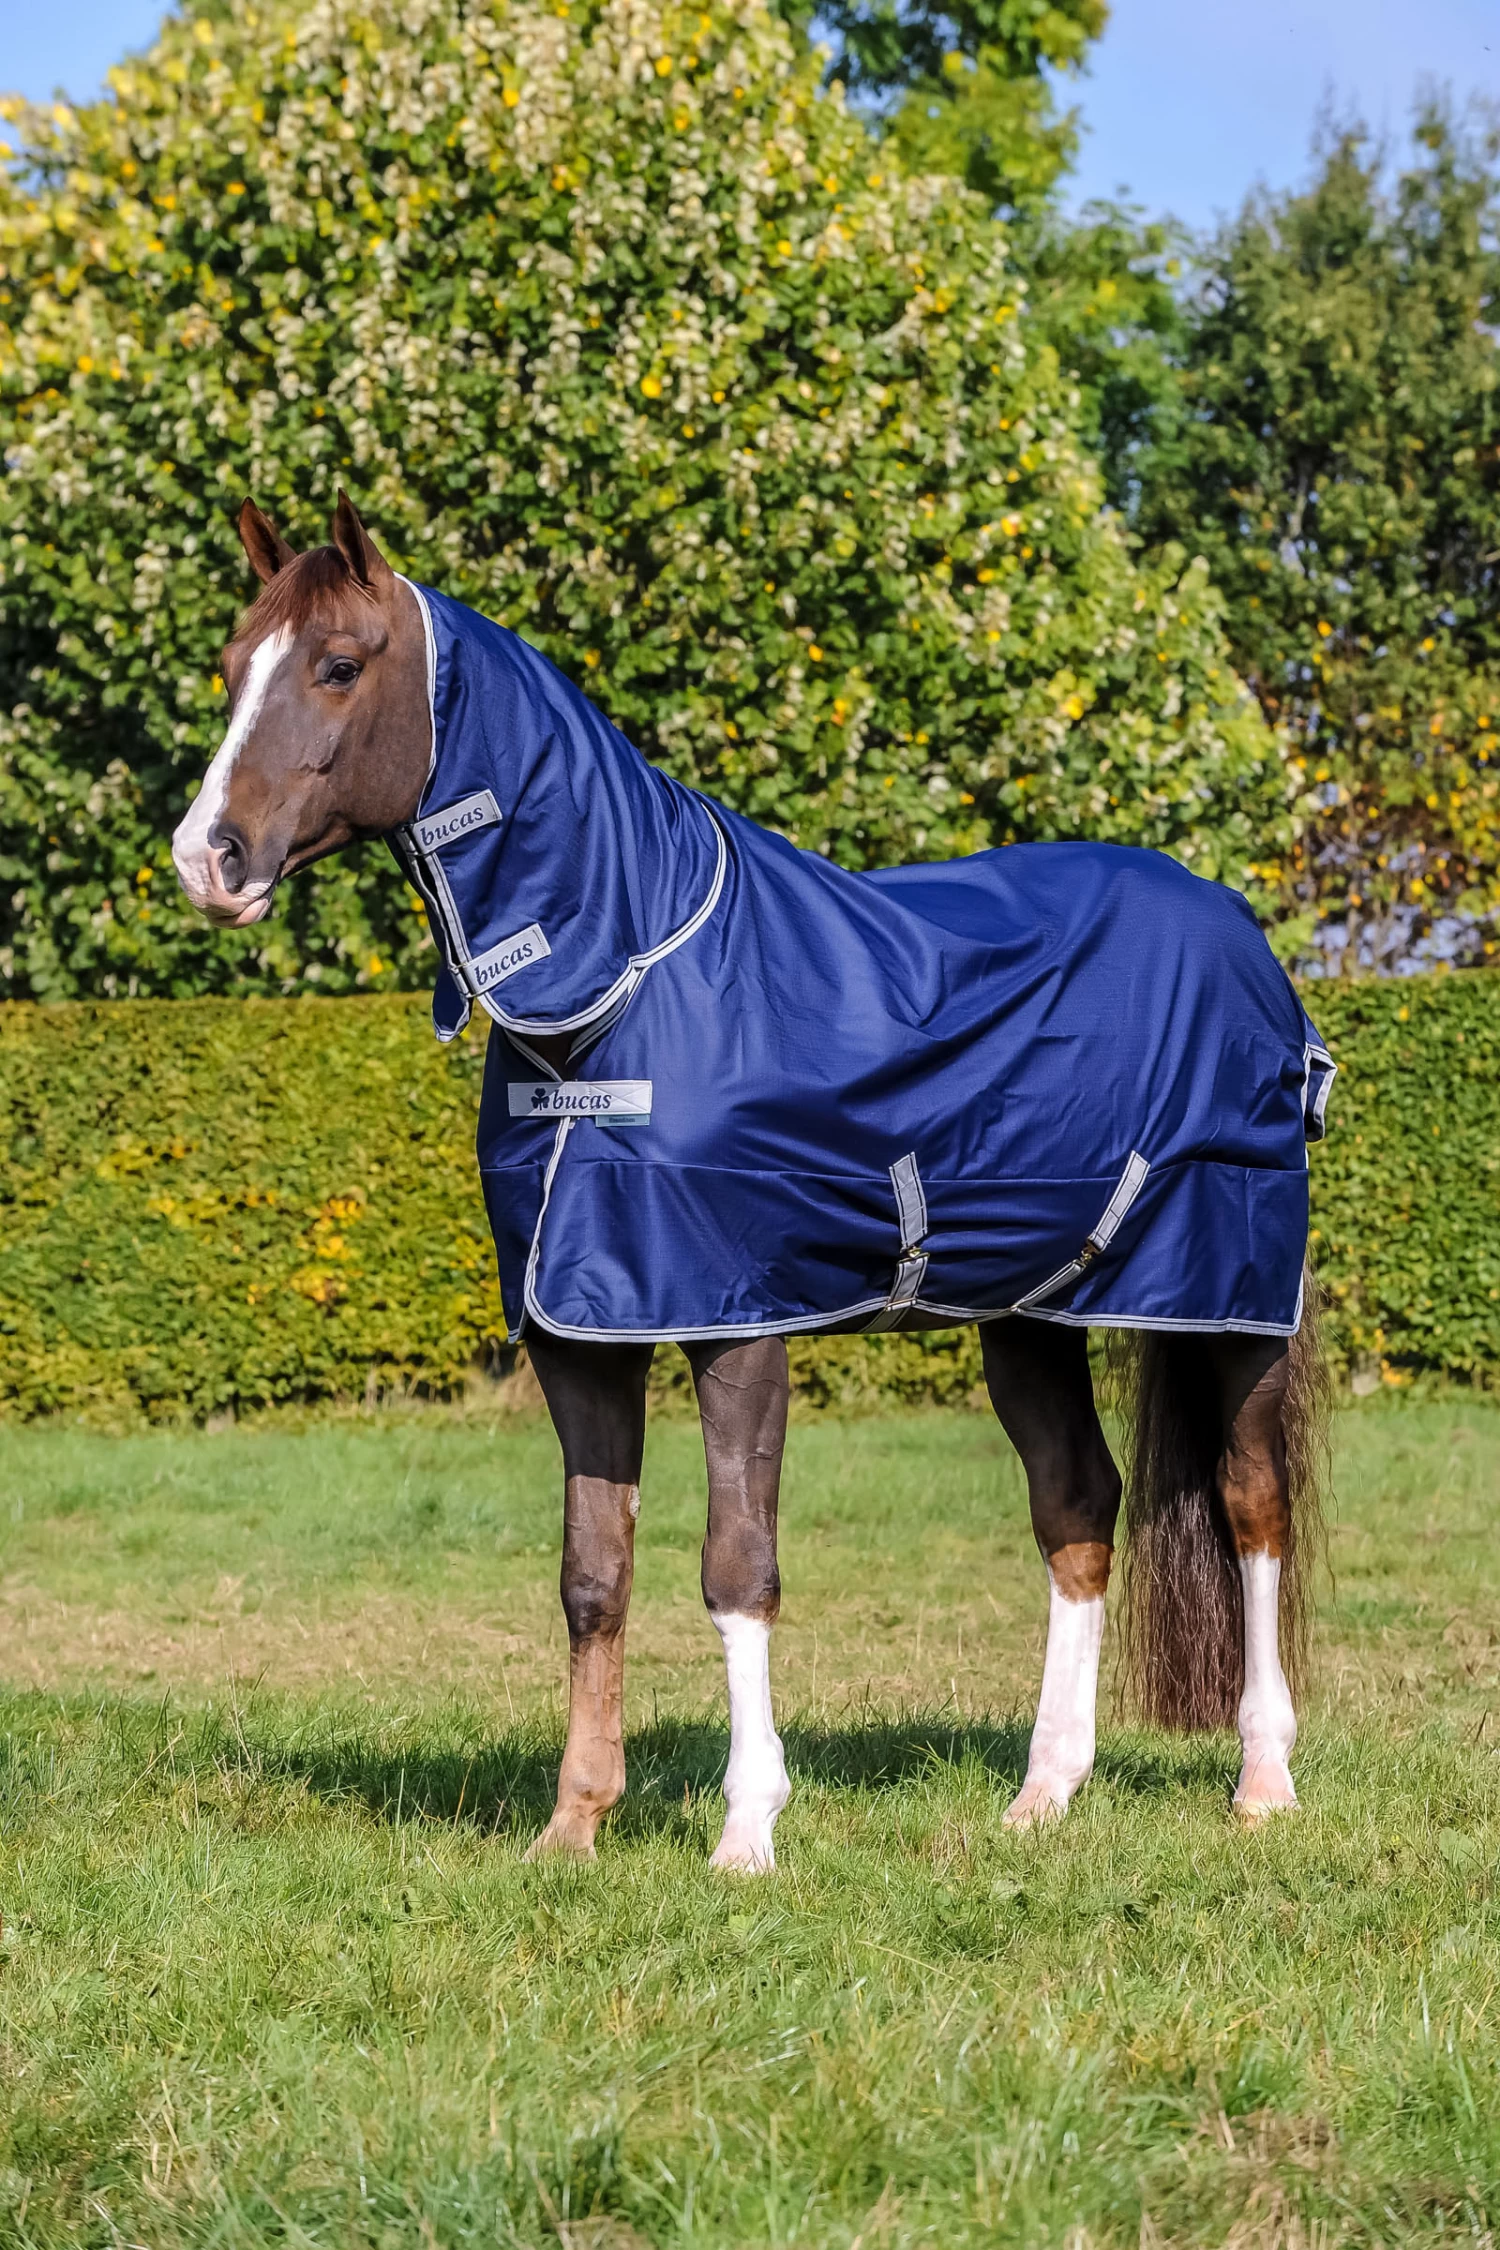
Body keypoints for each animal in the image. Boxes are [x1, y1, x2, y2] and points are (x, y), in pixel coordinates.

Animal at [172, 492, 1332, 1869]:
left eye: (341, 666)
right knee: (1077, 1507)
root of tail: (1240, 933)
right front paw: (573, 1825)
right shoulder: (582, 1333)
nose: (208, 858)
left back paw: (1263, 1781)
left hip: (1229, 1302)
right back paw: (1043, 1792)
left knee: (1251, 1507)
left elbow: (736, 1567)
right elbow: (592, 1575)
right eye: (231, 666)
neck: (626, 977)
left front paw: (746, 1831)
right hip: (1027, 1316)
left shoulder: (736, 1324)